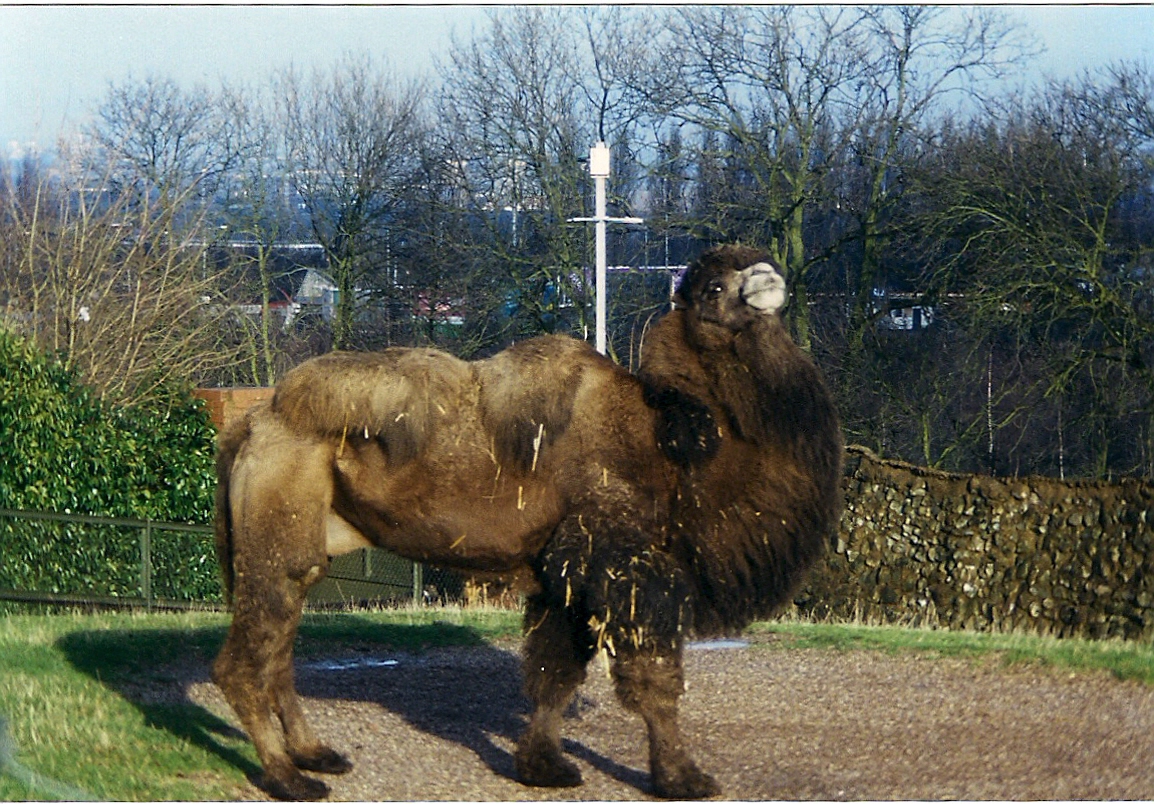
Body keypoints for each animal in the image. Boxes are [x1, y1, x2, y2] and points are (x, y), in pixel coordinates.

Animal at [212, 244, 844, 800]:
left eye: (755, 261)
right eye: (714, 288)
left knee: (279, 645)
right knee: (245, 659)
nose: (769, 279)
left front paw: (543, 767)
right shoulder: (626, 566)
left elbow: (553, 674)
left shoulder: (561, 575)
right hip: (276, 519)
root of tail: (251, 423)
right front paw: (682, 779)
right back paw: (288, 779)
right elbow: (654, 680)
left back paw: (314, 754)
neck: (673, 445)